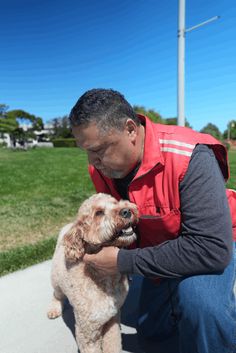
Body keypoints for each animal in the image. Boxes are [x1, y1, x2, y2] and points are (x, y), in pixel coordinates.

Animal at [47, 192, 138, 352]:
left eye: (115, 202)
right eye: (99, 213)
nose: (127, 211)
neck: (103, 278)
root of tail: (68, 226)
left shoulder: (112, 320)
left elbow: (113, 344)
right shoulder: (87, 333)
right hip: (56, 279)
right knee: (56, 294)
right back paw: (54, 309)